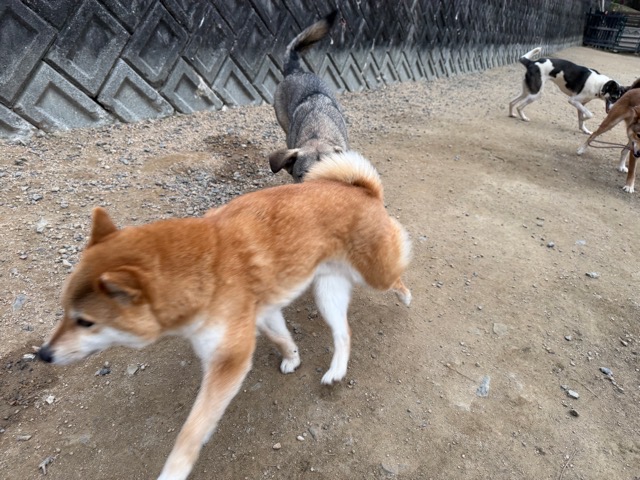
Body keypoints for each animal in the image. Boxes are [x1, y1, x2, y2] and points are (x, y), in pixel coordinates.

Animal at [37, 150, 411, 480]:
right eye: (64, 311)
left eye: (86, 322)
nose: (43, 354)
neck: (202, 268)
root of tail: (362, 190)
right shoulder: (261, 314)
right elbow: (280, 338)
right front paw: (292, 358)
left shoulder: (227, 361)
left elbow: (192, 429)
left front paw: (174, 470)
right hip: (326, 291)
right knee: (343, 333)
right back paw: (336, 370)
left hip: (374, 276)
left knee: (396, 275)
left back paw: (406, 294)